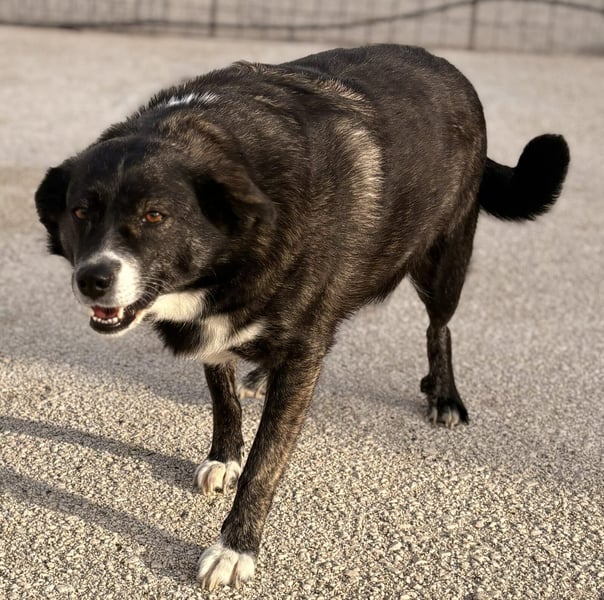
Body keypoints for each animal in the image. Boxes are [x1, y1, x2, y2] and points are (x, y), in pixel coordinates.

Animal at [35, 44, 569, 589]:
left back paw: (443, 394)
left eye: (154, 216)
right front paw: (225, 454)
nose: (92, 278)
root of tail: (445, 64)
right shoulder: (216, 329)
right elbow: (223, 398)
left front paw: (235, 547)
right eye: (80, 212)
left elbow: (265, 464)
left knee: (439, 326)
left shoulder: (301, 354)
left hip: (444, 265)